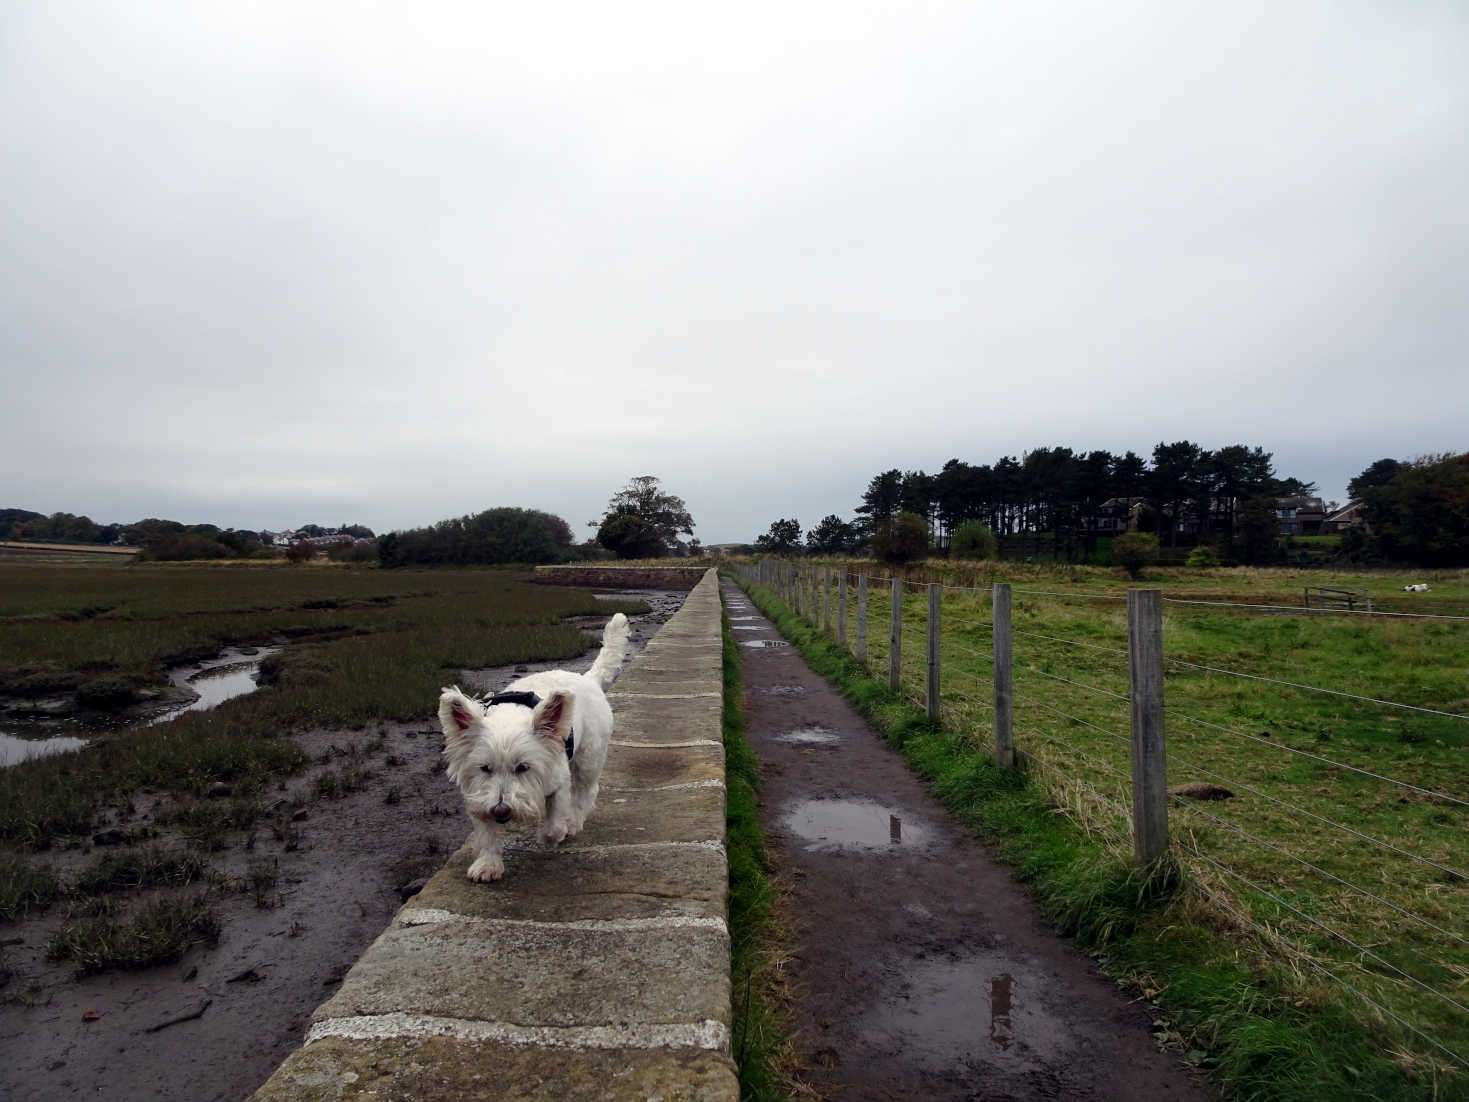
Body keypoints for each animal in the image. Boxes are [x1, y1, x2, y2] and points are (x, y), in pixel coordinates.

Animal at [428, 614, 625, 881]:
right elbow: (485, 832)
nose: (501, 812)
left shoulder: (558, 781)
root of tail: (588, 678)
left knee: (586, 790)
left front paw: (552, 834)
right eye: (485, 768)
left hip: (588, 758)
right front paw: (487, 864)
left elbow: (554, 823)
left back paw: (574, 822)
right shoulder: (478, 794)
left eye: (523, 767)